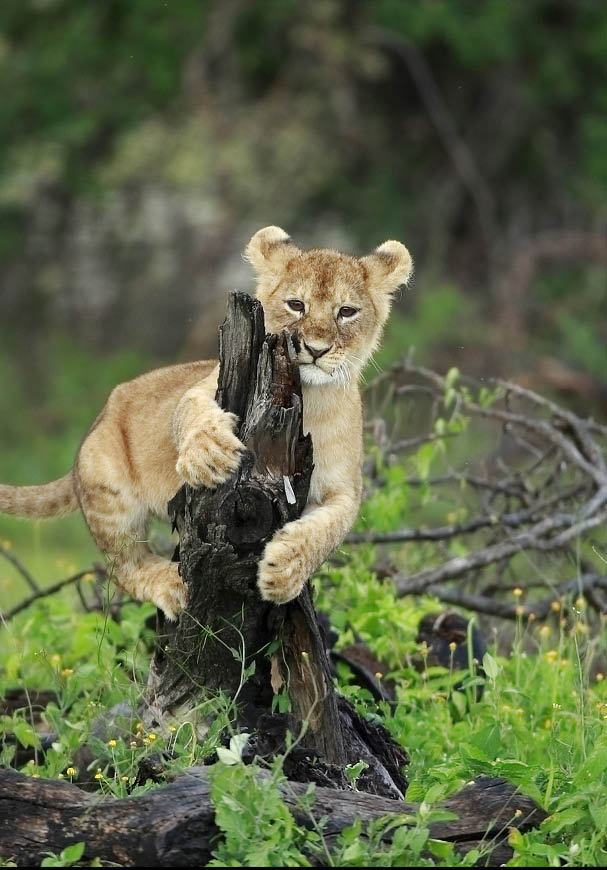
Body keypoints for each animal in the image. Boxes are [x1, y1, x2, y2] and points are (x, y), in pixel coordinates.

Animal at [0, 227, 412, 618]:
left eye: (347, 312)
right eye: (297, 305)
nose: (315, 349)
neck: (309, 397)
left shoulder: (346, 489)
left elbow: (327, 530)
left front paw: (283, 573)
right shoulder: (204, 385)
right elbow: (190, 409)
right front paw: (209, 454)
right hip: (106, 483)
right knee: (124, 567)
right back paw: (167, 584)